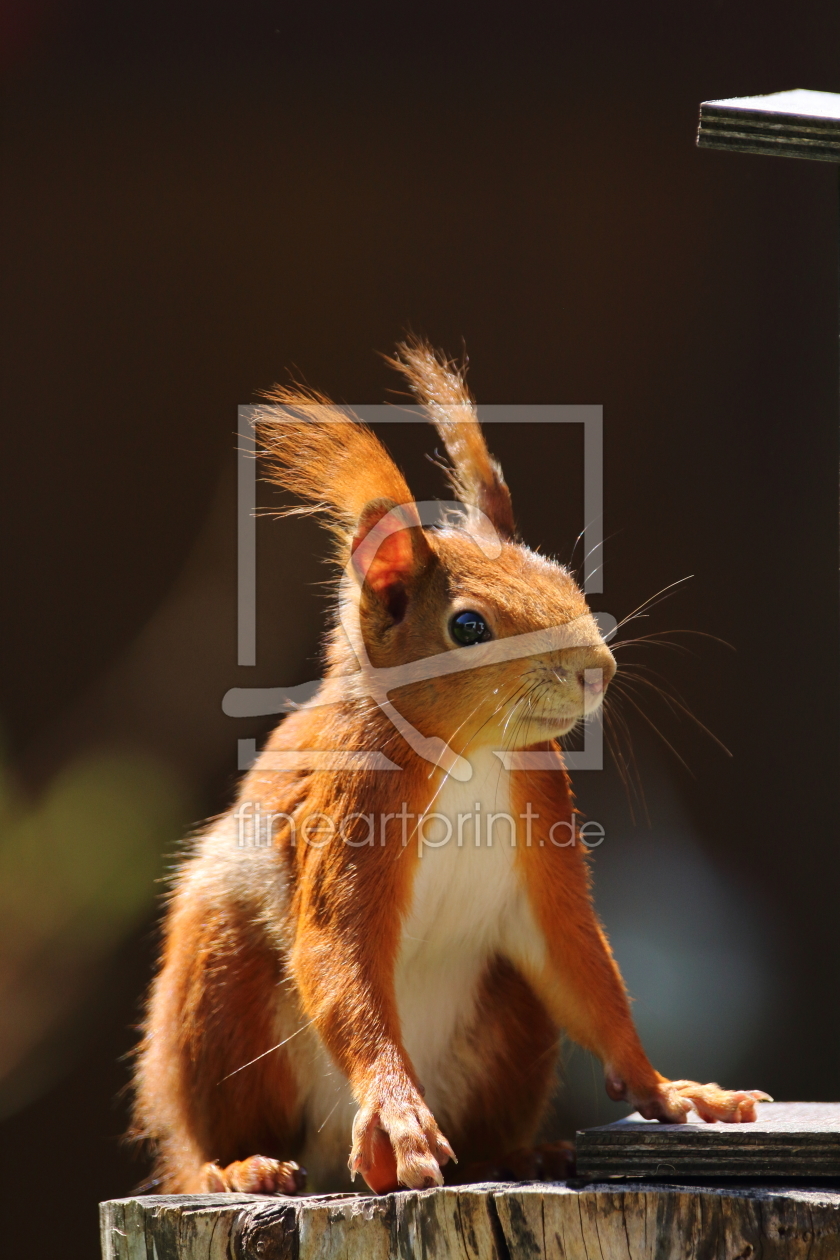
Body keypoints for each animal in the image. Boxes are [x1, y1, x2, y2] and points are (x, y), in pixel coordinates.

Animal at [131, 340, 770, 1194]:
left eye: (564, 579)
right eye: (468, 626)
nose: (596, 670)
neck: (471, 755)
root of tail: (331, 1164)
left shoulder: (542, 830)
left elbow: (583, 968)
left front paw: (674, 1092)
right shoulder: (348, 809)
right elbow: (339, 960)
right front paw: (398, 1113)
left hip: (510, 1018)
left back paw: (521, 1152)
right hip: (220, 994)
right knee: (202, 1134)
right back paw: (237, 1168)